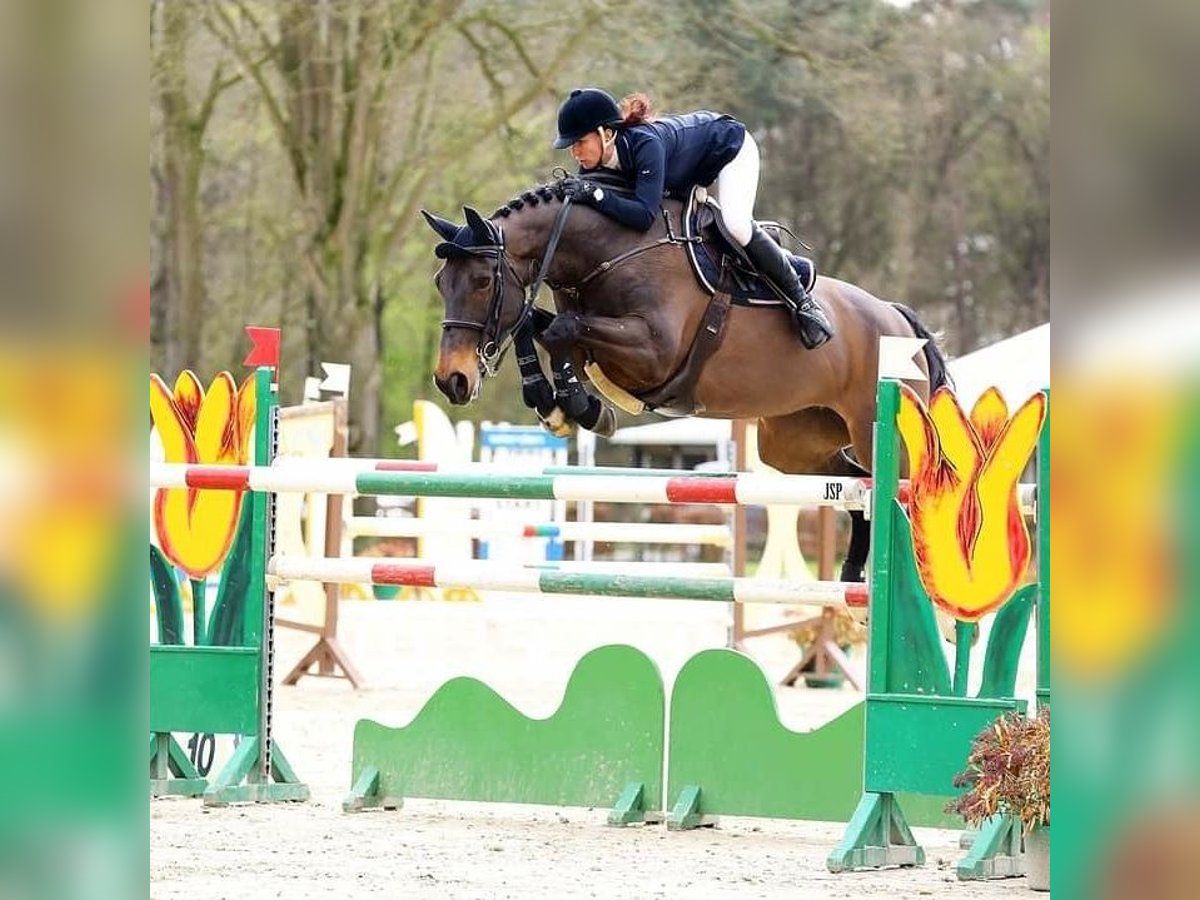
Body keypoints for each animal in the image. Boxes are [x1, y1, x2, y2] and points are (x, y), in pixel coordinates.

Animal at [422, 180, 945, 580]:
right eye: (441, 283)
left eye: (483, 282)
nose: (452, 379)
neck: (609, 252)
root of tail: (897, 320)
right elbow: (539, 325)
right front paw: (555, 402)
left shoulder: (654, 352)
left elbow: (560, 330)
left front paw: (580, 407)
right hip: (796, 444)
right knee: (855, 487)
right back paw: (853, 580)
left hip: (878, 434)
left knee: (892, 491)